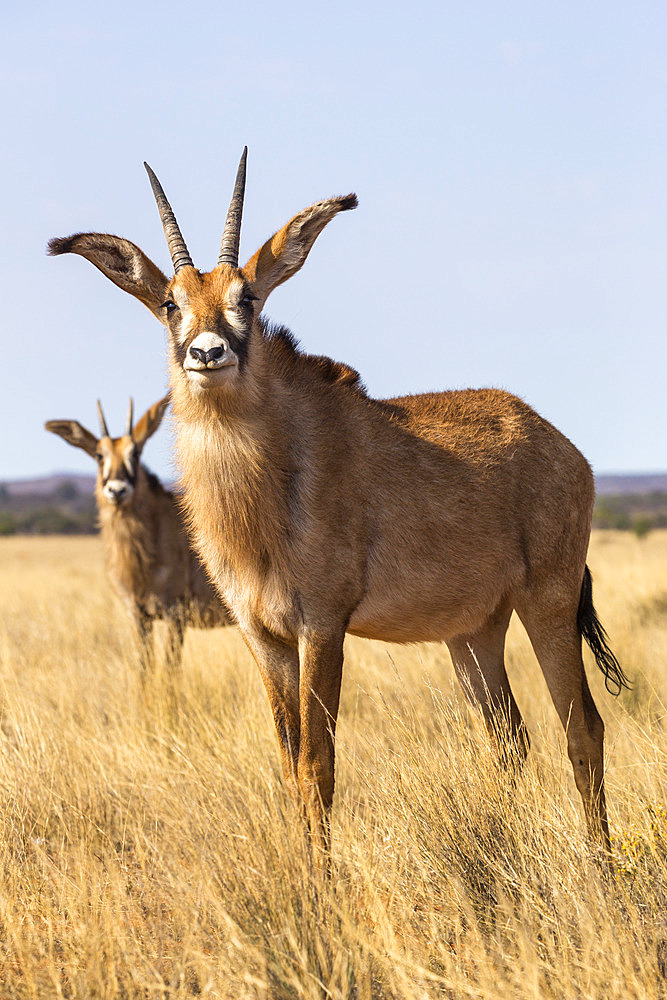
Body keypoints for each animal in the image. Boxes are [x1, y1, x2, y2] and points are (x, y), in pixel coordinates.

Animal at [45, 396, 231, 672]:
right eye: (99, 455)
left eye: (135, 452)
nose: (117, 490)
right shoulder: (138, 615)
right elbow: (145, 668)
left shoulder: (176, 614)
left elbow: (169, 669)